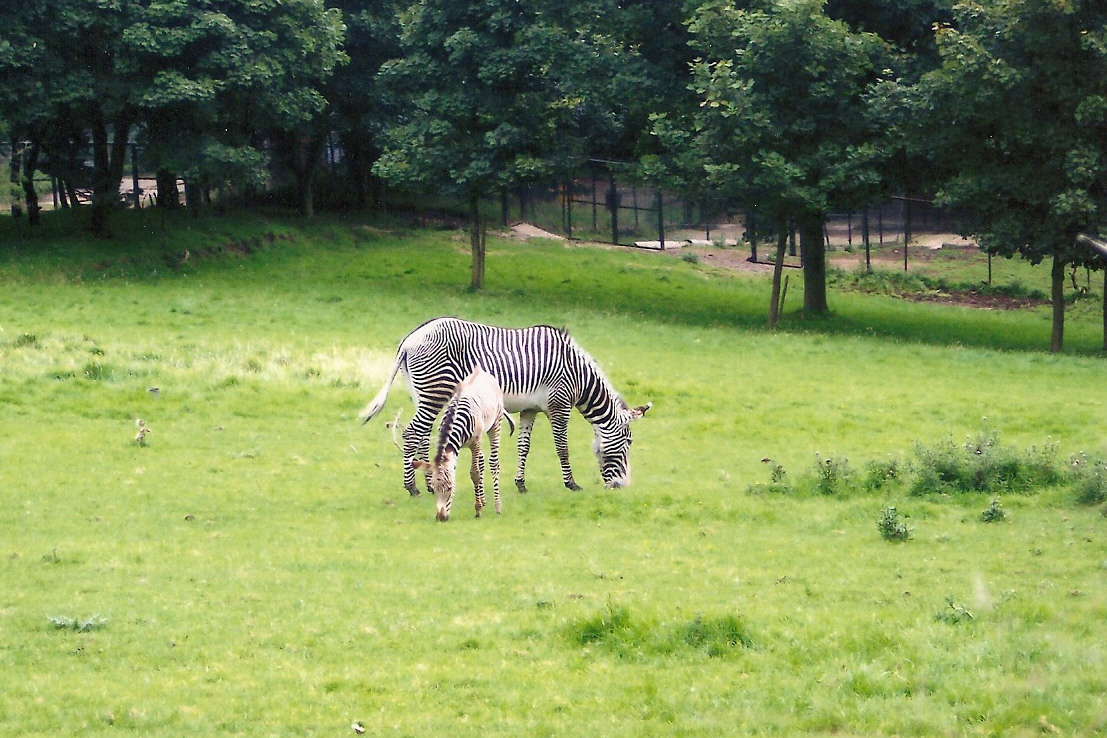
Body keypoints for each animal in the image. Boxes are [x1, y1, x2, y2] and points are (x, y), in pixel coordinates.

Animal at [359, 317, 650, 495]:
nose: (622, 486)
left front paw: (521, 484)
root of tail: (409, 340)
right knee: (412, 433)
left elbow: (524, 447)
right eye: (629, 443)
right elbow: (562, 448)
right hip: (435, 392)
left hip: (424, 394)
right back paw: (413, 488)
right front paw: (571, 484)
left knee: (423, 434)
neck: (578, 375)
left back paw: (430, 485)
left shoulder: (530, 409)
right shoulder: (559, 404)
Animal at [413, 364, 513, 521]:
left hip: (495, 424)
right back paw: (484, 499)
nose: (441, 518)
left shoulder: (475, 442)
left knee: (494, 463)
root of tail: (480, 371)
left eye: (449, 488)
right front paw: (480, 503)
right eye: (434, 489)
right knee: (482, 461)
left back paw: (497, 506)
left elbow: (475, 473)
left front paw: (478, 510)